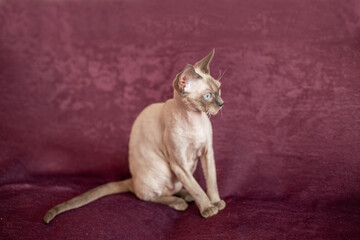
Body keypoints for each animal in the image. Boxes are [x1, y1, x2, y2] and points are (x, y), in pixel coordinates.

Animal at [43, 49, 226, 224]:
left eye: (219, 89)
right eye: (208, 96)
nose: (221, 103)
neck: (195, 120)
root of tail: (132, 179)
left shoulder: (207, 152)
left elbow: (211, 182)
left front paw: (216, 202)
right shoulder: (178, 163)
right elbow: (197, 188)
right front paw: (208, 208)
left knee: (172, 189)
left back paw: (186, 196)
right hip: (163, 170)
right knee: (147, 196)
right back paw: (179, 202)